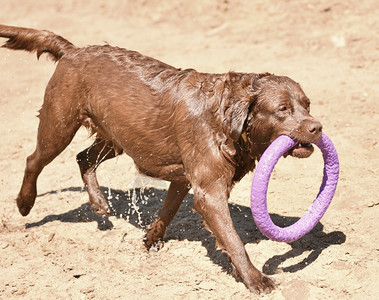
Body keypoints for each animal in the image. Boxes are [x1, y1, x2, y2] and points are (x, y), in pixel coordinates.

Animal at [0, 25, 322, 292]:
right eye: (282, 109)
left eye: (307, 104)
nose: (317, 127)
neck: (225, 118)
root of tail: (73, 50)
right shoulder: (209, 190)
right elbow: (233, 238)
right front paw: (255, 278)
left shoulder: (184, 178)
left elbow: (168, 210)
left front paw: (151, 238)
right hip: (59, 125)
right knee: (34, 160)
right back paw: (25, 203)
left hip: (118, 136)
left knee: (83, 158)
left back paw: (99, 203)